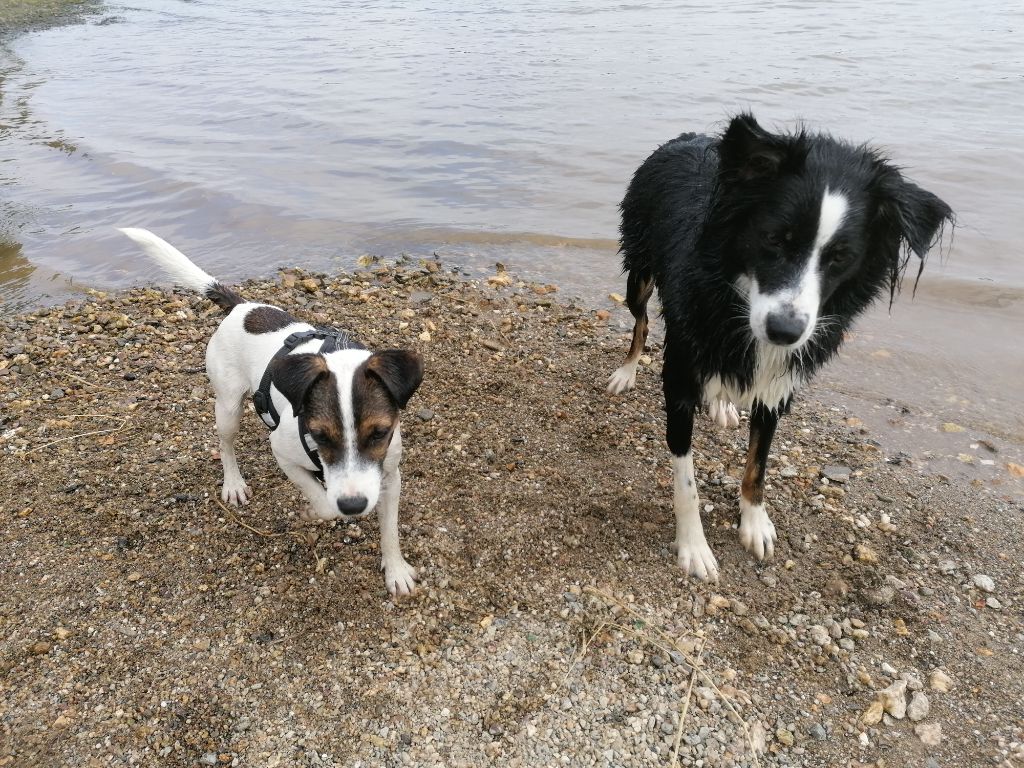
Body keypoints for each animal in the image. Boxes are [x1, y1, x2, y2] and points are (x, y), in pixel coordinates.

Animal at [119, 228, 423, 593]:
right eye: (319, 435)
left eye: (379, 433)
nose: (353, 505)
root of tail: (240, 306)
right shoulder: (283, 453)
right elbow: (324, 504)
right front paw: (314, 513)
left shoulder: (389, 476)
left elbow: (389, 529)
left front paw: (395, 570)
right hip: (228, 407)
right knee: (226, 445)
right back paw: (234, 483)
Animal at [606, 112, 950, 581]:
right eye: (773, 239)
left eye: (841, 257)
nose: (784, 331)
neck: (736, 295)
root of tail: (686, 137)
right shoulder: (679, 377)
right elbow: (687, 481)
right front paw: (694, 547)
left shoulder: (777, 383)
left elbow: (758, 465)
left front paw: (754, 524)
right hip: (639, 268)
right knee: (640, 321)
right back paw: (626, 371)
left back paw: (722, 406)